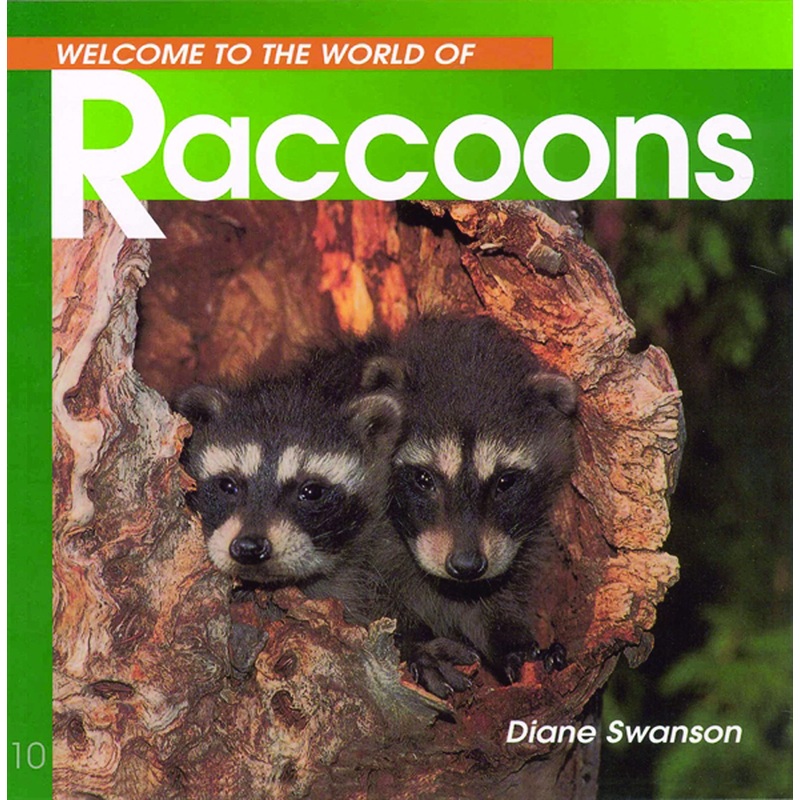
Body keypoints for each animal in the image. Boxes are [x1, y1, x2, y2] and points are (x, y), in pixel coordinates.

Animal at [364, 316, 577, 697]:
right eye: (423, 478)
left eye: (505, 482)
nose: (466, 566)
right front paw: (415, 642)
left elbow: (492, 599)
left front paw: (513, 641)